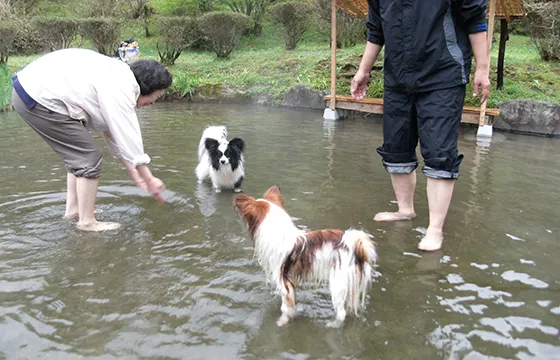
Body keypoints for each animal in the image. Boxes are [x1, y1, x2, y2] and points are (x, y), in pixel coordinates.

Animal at [232, 187, 376, 328]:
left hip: (337, 284)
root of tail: (357, 248)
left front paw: (283, 321)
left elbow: (286, 307)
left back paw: (332, 325)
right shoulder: (290, 278)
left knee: (341, 313)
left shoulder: (283, 281)